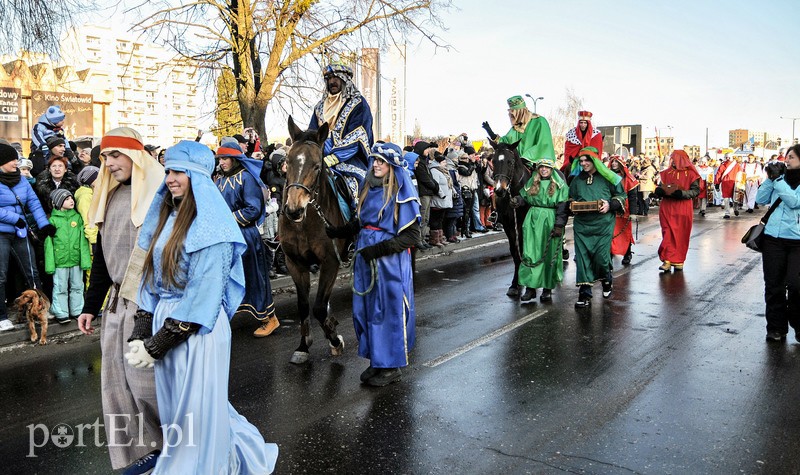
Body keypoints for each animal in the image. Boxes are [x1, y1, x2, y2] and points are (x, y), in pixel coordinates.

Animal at [280, 117, 348, 366]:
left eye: (317, 166)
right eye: (287, 161)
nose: (293, 209)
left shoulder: (330, 262)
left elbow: (318, 308)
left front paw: (335, 340)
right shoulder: (295, 263)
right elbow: (303, 306)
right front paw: (303, 346)